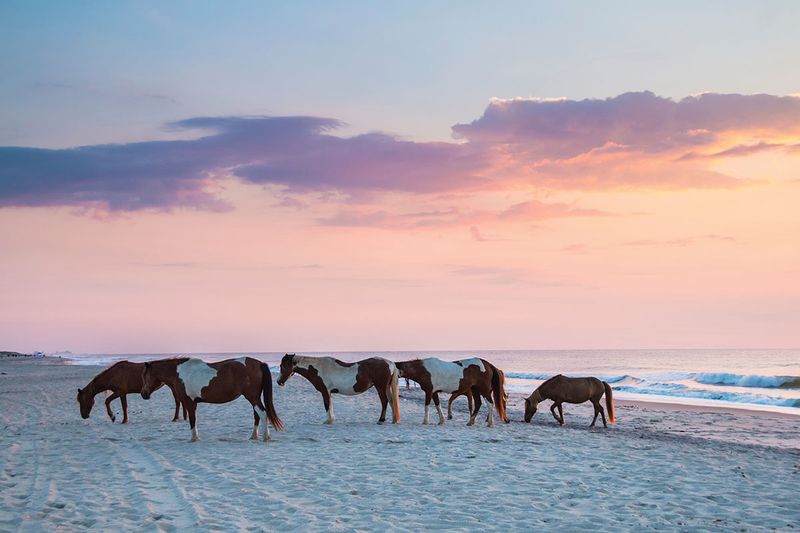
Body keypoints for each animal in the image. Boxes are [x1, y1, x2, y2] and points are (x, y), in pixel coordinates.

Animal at [141, 358, 284, 440]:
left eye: (145, 376)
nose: (143, 394)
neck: (179, 373)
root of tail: (259, 363)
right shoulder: (193, 403)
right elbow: (194, 419)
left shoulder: (189, 402)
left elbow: (192, 420)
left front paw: (194, 438)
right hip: (254, 398)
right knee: (257, 415)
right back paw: (254, 436)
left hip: (252, 397)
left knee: (263, 413)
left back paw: (265, 437)